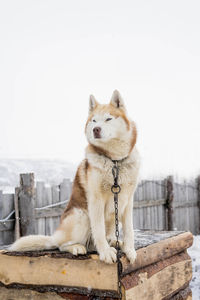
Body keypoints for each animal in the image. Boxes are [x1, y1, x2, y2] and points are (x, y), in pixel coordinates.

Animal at [9, 90, 140, 264]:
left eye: (108, 119)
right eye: (94, 120)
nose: (96, 129)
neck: (115, 161)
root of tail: (54, 236)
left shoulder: (127, 199)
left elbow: (129, 229)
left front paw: (129, 249)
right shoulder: (96, 200)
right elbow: (99, 230)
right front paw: (105, 252)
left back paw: (113, 241)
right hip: (81, 215)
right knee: (62, 245)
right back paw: (77, 247)